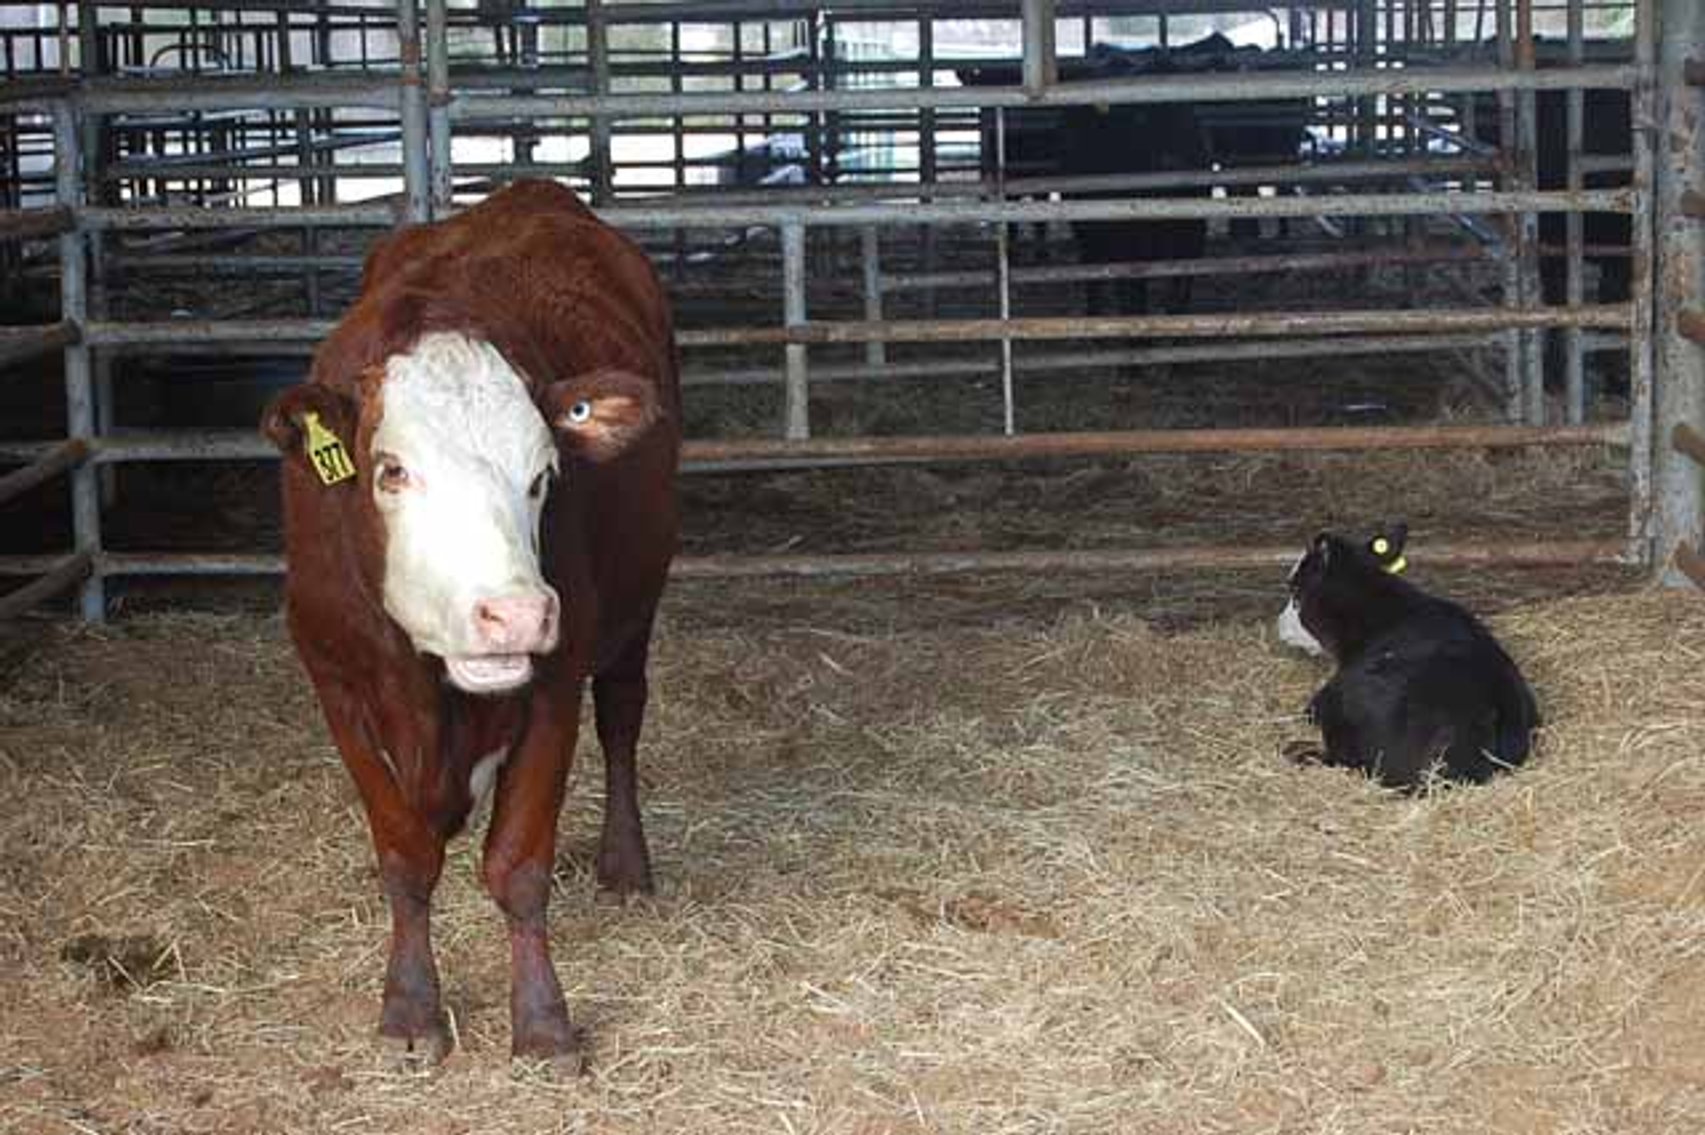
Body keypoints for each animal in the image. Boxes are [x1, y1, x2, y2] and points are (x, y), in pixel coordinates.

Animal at [260, 179, 679, 1069]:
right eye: (390, 470)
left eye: (544, 474)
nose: (516, 611)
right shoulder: (332, 678)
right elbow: (404, 854)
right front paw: (410, 1007)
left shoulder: (554, 679)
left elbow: (517, 860)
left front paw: (544, 1022)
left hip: (639, 600)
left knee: (622, 716)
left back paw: (625, 862)